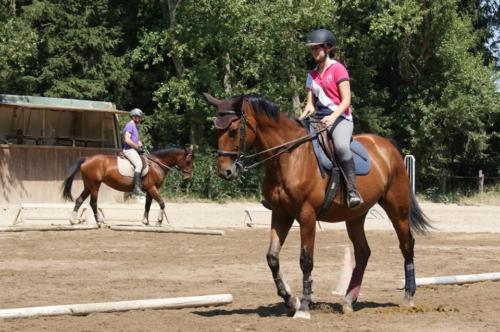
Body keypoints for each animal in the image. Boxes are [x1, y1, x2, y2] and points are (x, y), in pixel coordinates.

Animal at [62, 147, 193, 227]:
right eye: (188, 161)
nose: (188, 177)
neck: (157, 164)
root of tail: (87, 159)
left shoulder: (149, 190)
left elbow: (147, 206)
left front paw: (145, 222)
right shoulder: (152, 188)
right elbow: (162, 203)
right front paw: (159, 222)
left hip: (89, 185)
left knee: (79, 200)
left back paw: (73, 220)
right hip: (94, 185)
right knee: (93, 203)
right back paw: (100, 222)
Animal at [202, 92, 430, 320]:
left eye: (233, 131)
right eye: (215, 130)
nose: (225, 172)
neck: (289, 158)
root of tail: (388, 146)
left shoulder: (307, 215)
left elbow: (306, 260)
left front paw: (303, 307)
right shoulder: (281, 214)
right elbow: (272, 257)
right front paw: (291, 300)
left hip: (397, 208)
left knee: (406, 245)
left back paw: (408, 296)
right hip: (355, 216)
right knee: (363, 252)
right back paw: (349, 300)